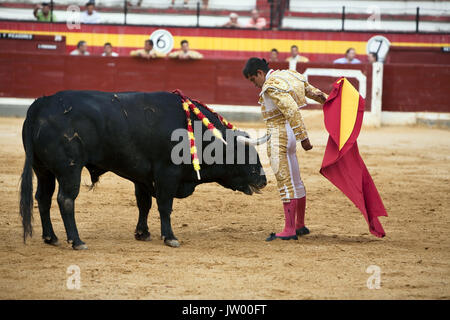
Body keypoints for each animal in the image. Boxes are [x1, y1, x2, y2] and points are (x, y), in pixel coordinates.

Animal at [19, 90, 268, 250]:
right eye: (246, 154)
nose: (264, 180)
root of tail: (41, 103)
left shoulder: (142, 177)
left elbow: (144, 204)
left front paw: (143, 233)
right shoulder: (167, 174)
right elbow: (165, 206)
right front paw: (170, 237)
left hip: (43, 170)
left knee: (43, 198)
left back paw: (51, 237)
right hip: (69, 169)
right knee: (66, 199)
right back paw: (77, 241)